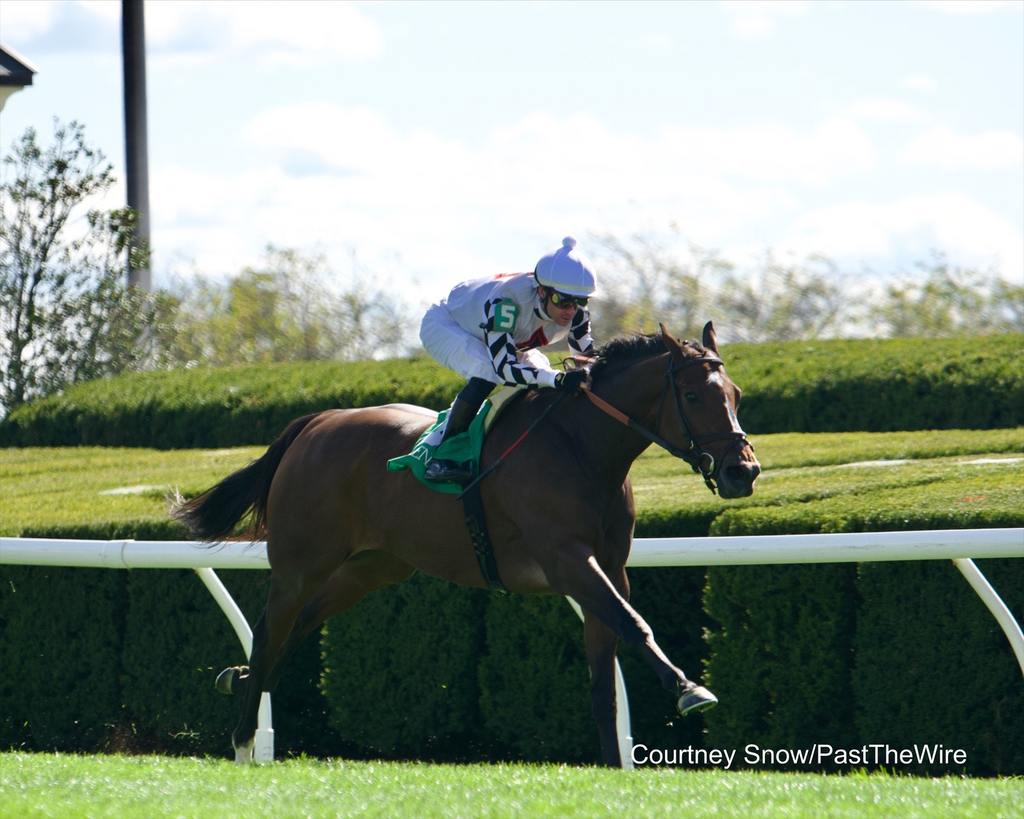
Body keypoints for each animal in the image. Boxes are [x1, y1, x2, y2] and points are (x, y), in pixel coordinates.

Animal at [172, 321, 761, 769]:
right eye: (692, 396)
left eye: (735, 396)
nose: (743, 471)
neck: (580, 448)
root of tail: (317, 421)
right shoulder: (567, 560)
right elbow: (635, 625)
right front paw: (690, 689)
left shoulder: (610, 570)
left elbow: (605, 678)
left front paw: (615, 766)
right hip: (302, 561)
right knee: (271, 630)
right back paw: (243, 739)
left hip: (373, 566)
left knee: (297, 627)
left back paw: (238, 679)